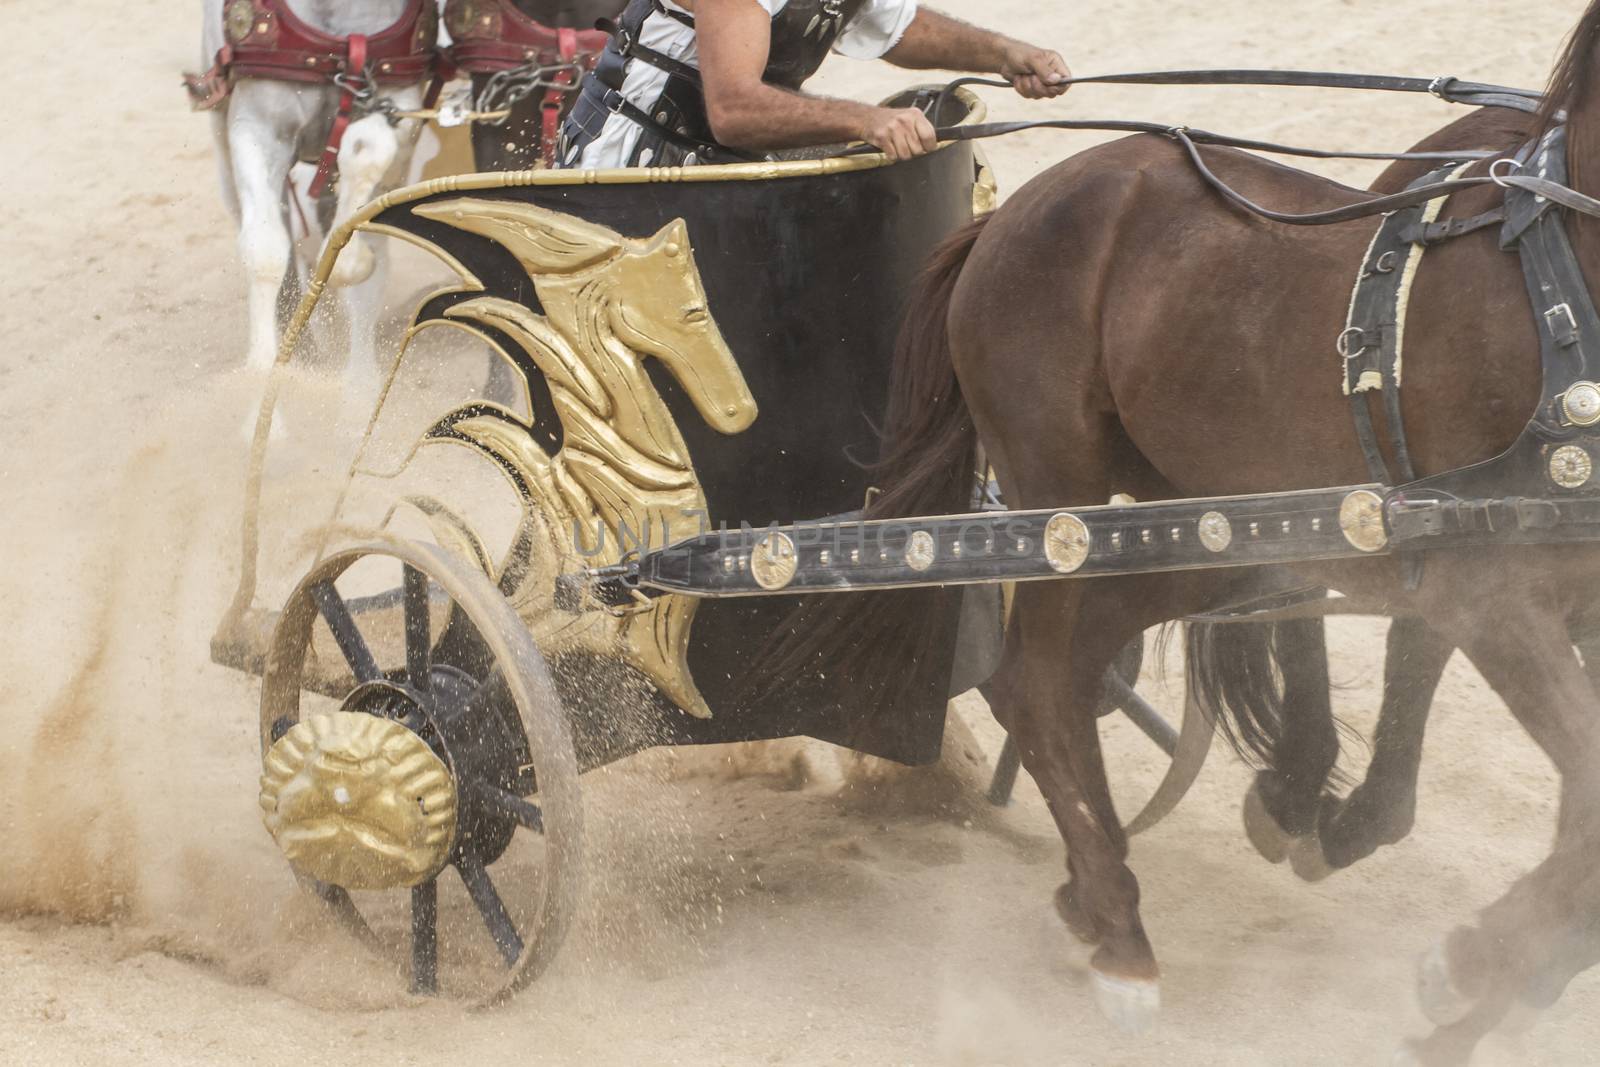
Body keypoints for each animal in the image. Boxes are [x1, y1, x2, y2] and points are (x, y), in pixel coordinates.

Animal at [200, 0, 432, 409]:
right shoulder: (259, 129)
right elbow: (265, 251)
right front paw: (262, 377)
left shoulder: (400, 106)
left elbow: (371, 148)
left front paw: (345, 256)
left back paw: (358, 387)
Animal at [832, 12, 1600, 1062]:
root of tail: (1021, 206)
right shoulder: (1495, 596)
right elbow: (1587, 815)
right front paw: (1468, 967)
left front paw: (1479, 996)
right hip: (1059, 496)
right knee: (1039, 679)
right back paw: (1120, 929)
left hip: (1201, 522)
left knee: (1070, 669)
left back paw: (1102, 885)